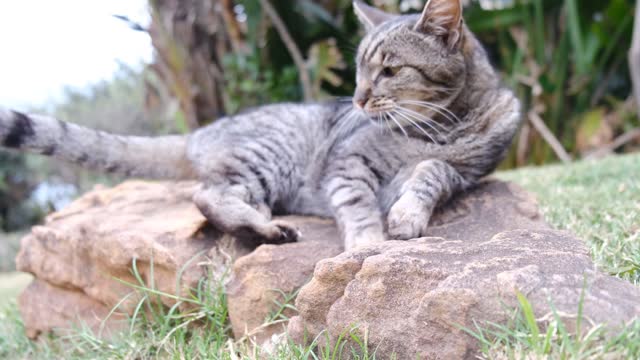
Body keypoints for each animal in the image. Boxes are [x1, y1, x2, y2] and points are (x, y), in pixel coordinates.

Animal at [0, 0, 520, 250]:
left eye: (390, 71)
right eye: (358, 71)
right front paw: (367, 242)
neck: (439, 127)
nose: (357, 98)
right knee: (206, 194)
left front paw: (407, 215)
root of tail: (200, 132)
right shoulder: (345, 162)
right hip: (269, 156)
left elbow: (432, 173)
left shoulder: (468, 173)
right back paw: (267, 231)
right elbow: (357, 204)